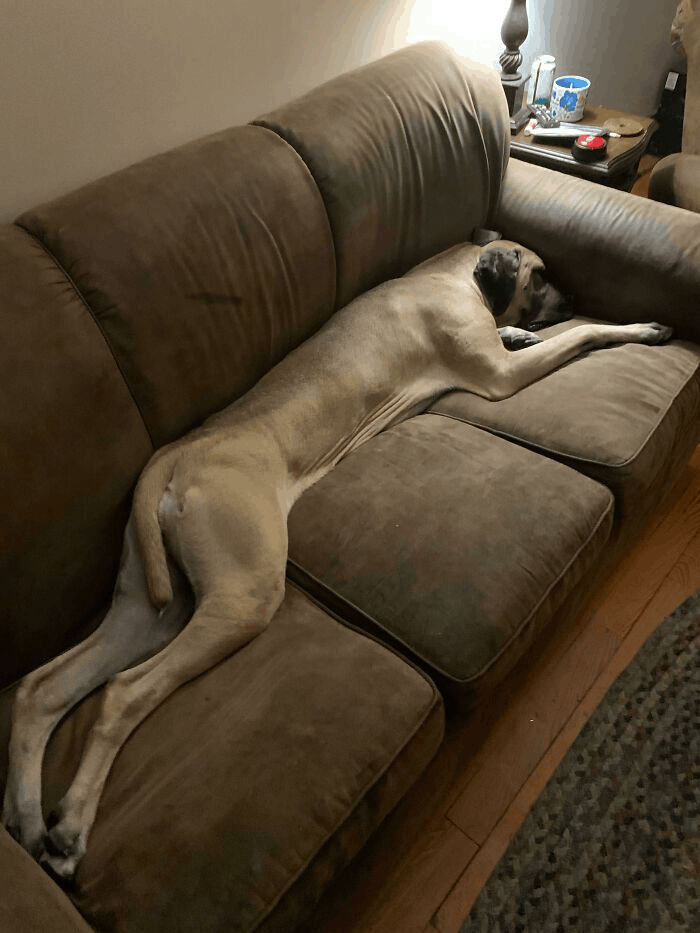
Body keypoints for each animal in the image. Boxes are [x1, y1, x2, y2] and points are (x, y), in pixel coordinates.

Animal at [0, 237, 672, 876]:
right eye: (539, 275)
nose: (572, 296)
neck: (453, 274)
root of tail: (176, 452)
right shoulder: (502, 374)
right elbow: (582, 335)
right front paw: (639, 328)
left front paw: (524, 329)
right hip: (243, 594)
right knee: (124, 692)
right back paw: (69, 828)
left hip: (148, 603)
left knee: (44, 688)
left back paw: (29, 818)